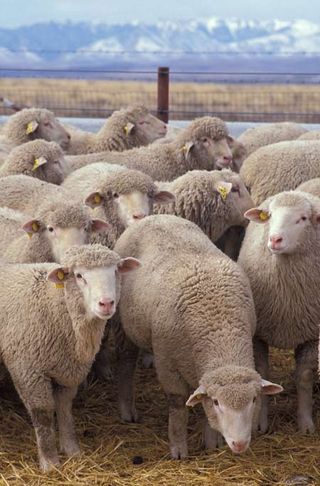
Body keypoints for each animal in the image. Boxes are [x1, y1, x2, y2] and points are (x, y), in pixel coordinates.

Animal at [0, 243, 140, 470]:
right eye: (79, 275)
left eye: (115, 272)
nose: (106, 303)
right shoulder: (27, 369)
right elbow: (43, 414)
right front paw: (50, 462)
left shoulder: (68, 369)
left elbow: (64, 408)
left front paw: (72, 450)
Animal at [113, 215, 282, 460]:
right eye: (218, 402)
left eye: (253, 399)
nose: (239, 444)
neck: (221, 331)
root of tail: (155, 216)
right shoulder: (167, 363)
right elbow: (177, 406)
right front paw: (178, 448)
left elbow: (202, 403)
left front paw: (212, 443)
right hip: (123, 324)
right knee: (125, 363)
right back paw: (127, 410)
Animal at [238, 190, 320, 432]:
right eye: (271, 215)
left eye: (303, 218)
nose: (275, 239)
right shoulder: (258, 334)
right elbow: (262, 373)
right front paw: (260, 423)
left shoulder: (311, 334)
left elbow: (304, 377)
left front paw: (305, 423)